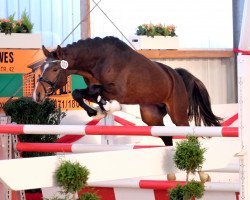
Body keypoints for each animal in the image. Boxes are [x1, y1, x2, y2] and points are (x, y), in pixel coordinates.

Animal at [32, 36, 221, 145]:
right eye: (41, 68)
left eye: (55, 69)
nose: (37, 95)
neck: (98, 61)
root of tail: (177, 75)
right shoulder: (94, 87)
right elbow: (80, 93)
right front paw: (96, 111)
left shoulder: (117, 91)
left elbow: (95, 92)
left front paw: (104, 108)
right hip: (150, 115)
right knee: (166, 136)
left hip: (178, 114)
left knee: (187, 132)